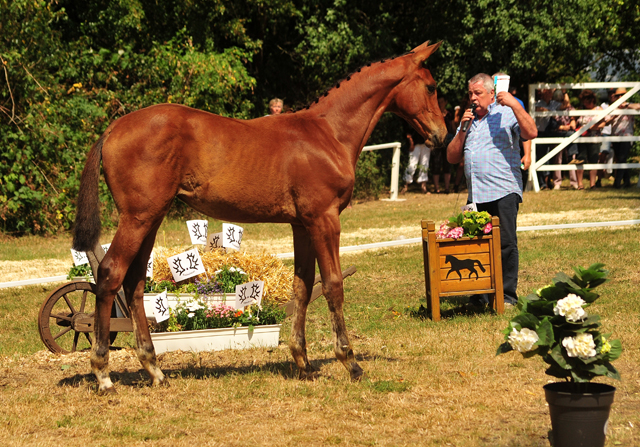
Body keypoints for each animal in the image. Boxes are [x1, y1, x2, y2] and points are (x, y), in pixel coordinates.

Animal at [74, 40, 444, 394]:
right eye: (430, 86)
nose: (440, 135)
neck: (328, 133)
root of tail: (113, 129)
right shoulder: (324, 220)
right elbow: (333, 285)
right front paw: (349, 362)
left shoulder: (302, 225)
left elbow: (303, 286)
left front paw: (303, 362)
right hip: (137, 218)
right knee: (111, 273)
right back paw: (104, 375)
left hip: (150, 217)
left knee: (134, 282)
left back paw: (155, 370)